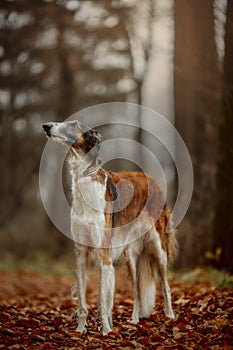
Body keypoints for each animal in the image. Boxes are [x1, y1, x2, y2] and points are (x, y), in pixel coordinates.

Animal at [42, 121, 178, 336]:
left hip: (159, 248)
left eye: (74, 125)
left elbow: (102, 301)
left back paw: (170, 315)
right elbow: (83, 303)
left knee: (165, 285)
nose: (46, 126)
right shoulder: (81, 254)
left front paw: (105, 330)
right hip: (131, 255)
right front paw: (80, 329)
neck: (85, 179)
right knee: (137, 290)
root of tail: (153, 180)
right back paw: (134, 319)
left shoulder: (103, 255)